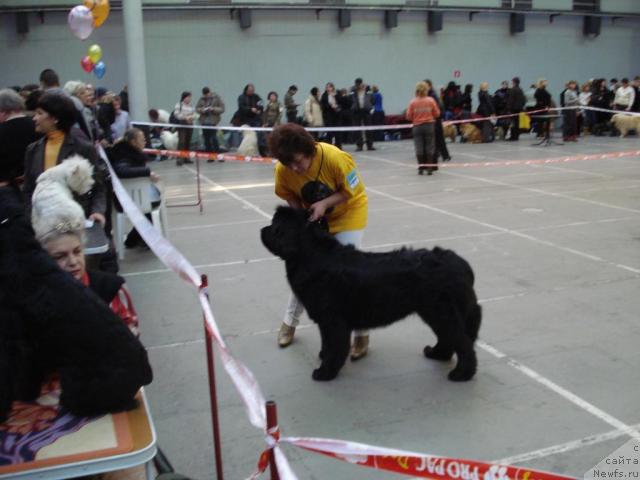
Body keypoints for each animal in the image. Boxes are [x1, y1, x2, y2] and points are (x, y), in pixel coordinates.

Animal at [260, 206, 480, 382]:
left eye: (275, 224)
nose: (262, 230)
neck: (311, 255)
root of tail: (462, 265)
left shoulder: (332, 320)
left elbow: (335, 347)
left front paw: (325, 372)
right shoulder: (327, 321)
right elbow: (328, 344)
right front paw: (324, 360)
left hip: (440, 312)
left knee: (462, 341)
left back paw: (462, 374)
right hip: (436, 312)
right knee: (450, 338)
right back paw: (437, 354)